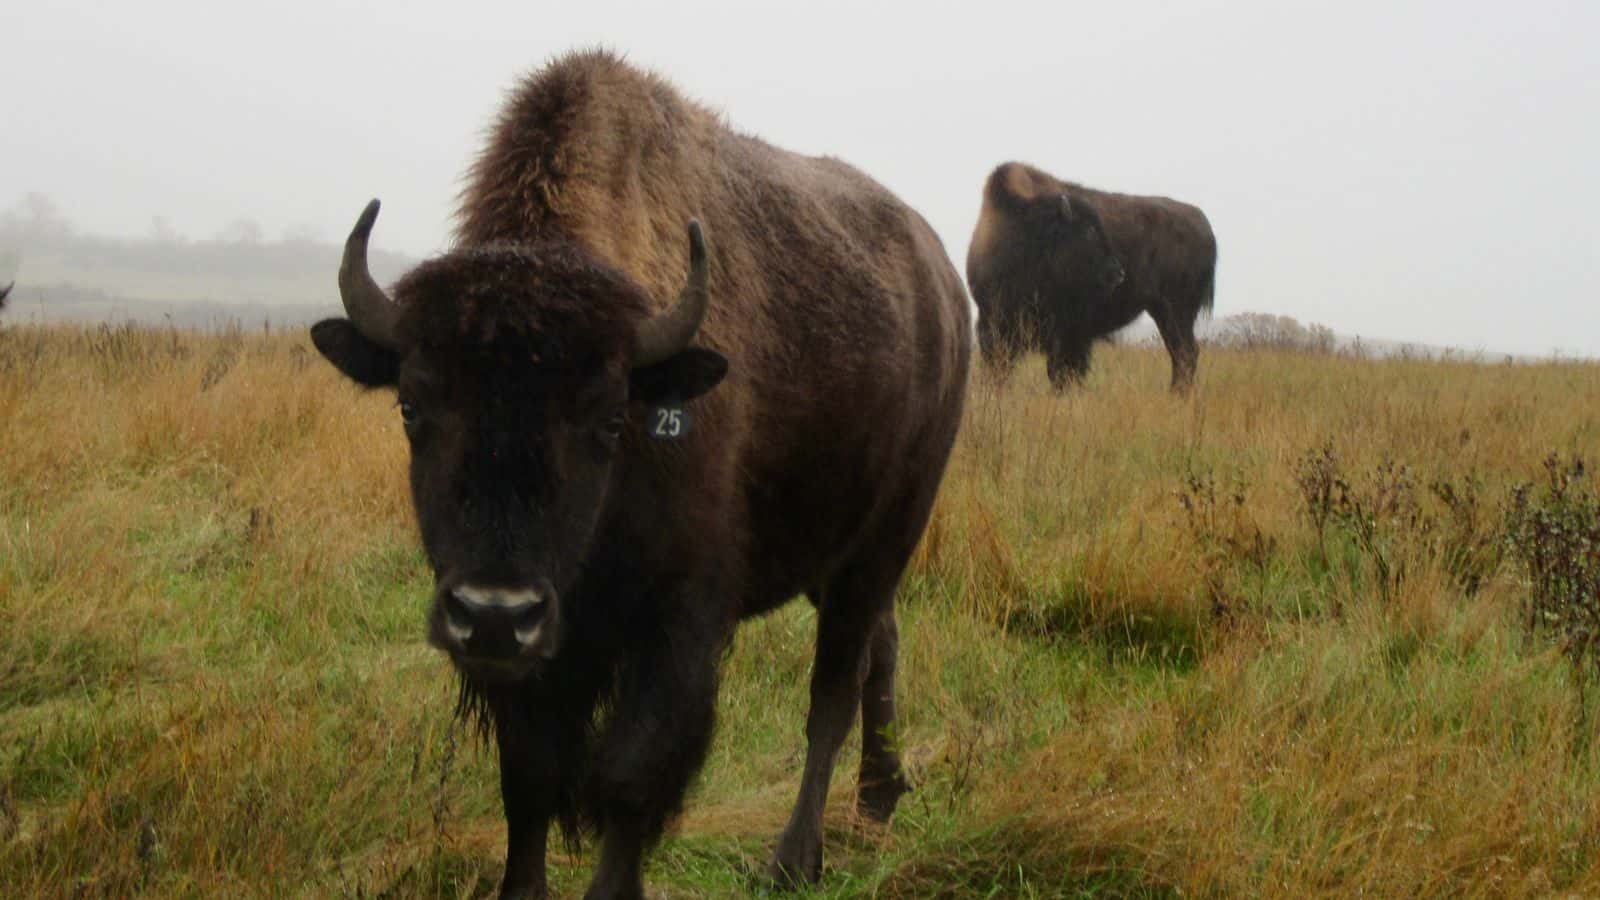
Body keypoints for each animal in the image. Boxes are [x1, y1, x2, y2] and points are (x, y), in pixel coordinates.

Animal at [311, 50, 970, 899]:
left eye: (609, 419)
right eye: (411, 407)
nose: (493, 612)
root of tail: (945, 287)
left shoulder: (679, 621)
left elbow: (631, 776)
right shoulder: (541, 651)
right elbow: (529, 777)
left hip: (888, 534)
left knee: (834, 686)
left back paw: (795, 858)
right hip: (837, 555)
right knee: (880, 645)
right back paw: (878, 803)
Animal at [966, 161, 1216, 391]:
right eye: (1088, 231)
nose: (1117, 273)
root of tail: (1202, 221)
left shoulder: (1070, 332)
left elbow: (1062, 371)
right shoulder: (994, 324)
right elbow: (1000, 367)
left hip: (1176, 311)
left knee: (1185, 353)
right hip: (1164, 312)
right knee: (1181, 353)